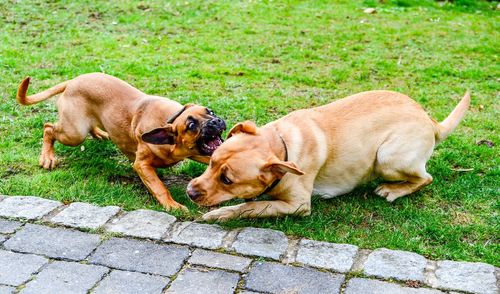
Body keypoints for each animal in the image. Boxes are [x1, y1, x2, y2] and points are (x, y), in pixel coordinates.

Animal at [16, 73, 227, 211]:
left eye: (210, 111)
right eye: (191, 125)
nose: (216, 121)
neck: (169, 122)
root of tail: (73, 81)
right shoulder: (142, 165)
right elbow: (160, 188)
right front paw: (172, 205)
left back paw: (100, 133)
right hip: (73, 133)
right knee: (48, 128)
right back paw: (47, 157)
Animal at [187, 89, 468, 220]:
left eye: (227, 180)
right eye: (211, 163)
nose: (189, 192)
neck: (281, 145)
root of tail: (430, 120)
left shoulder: (298, 205)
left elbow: (251, 206)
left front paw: (220, 214)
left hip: (387, 159)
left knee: (425, 178)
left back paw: (393, 190)